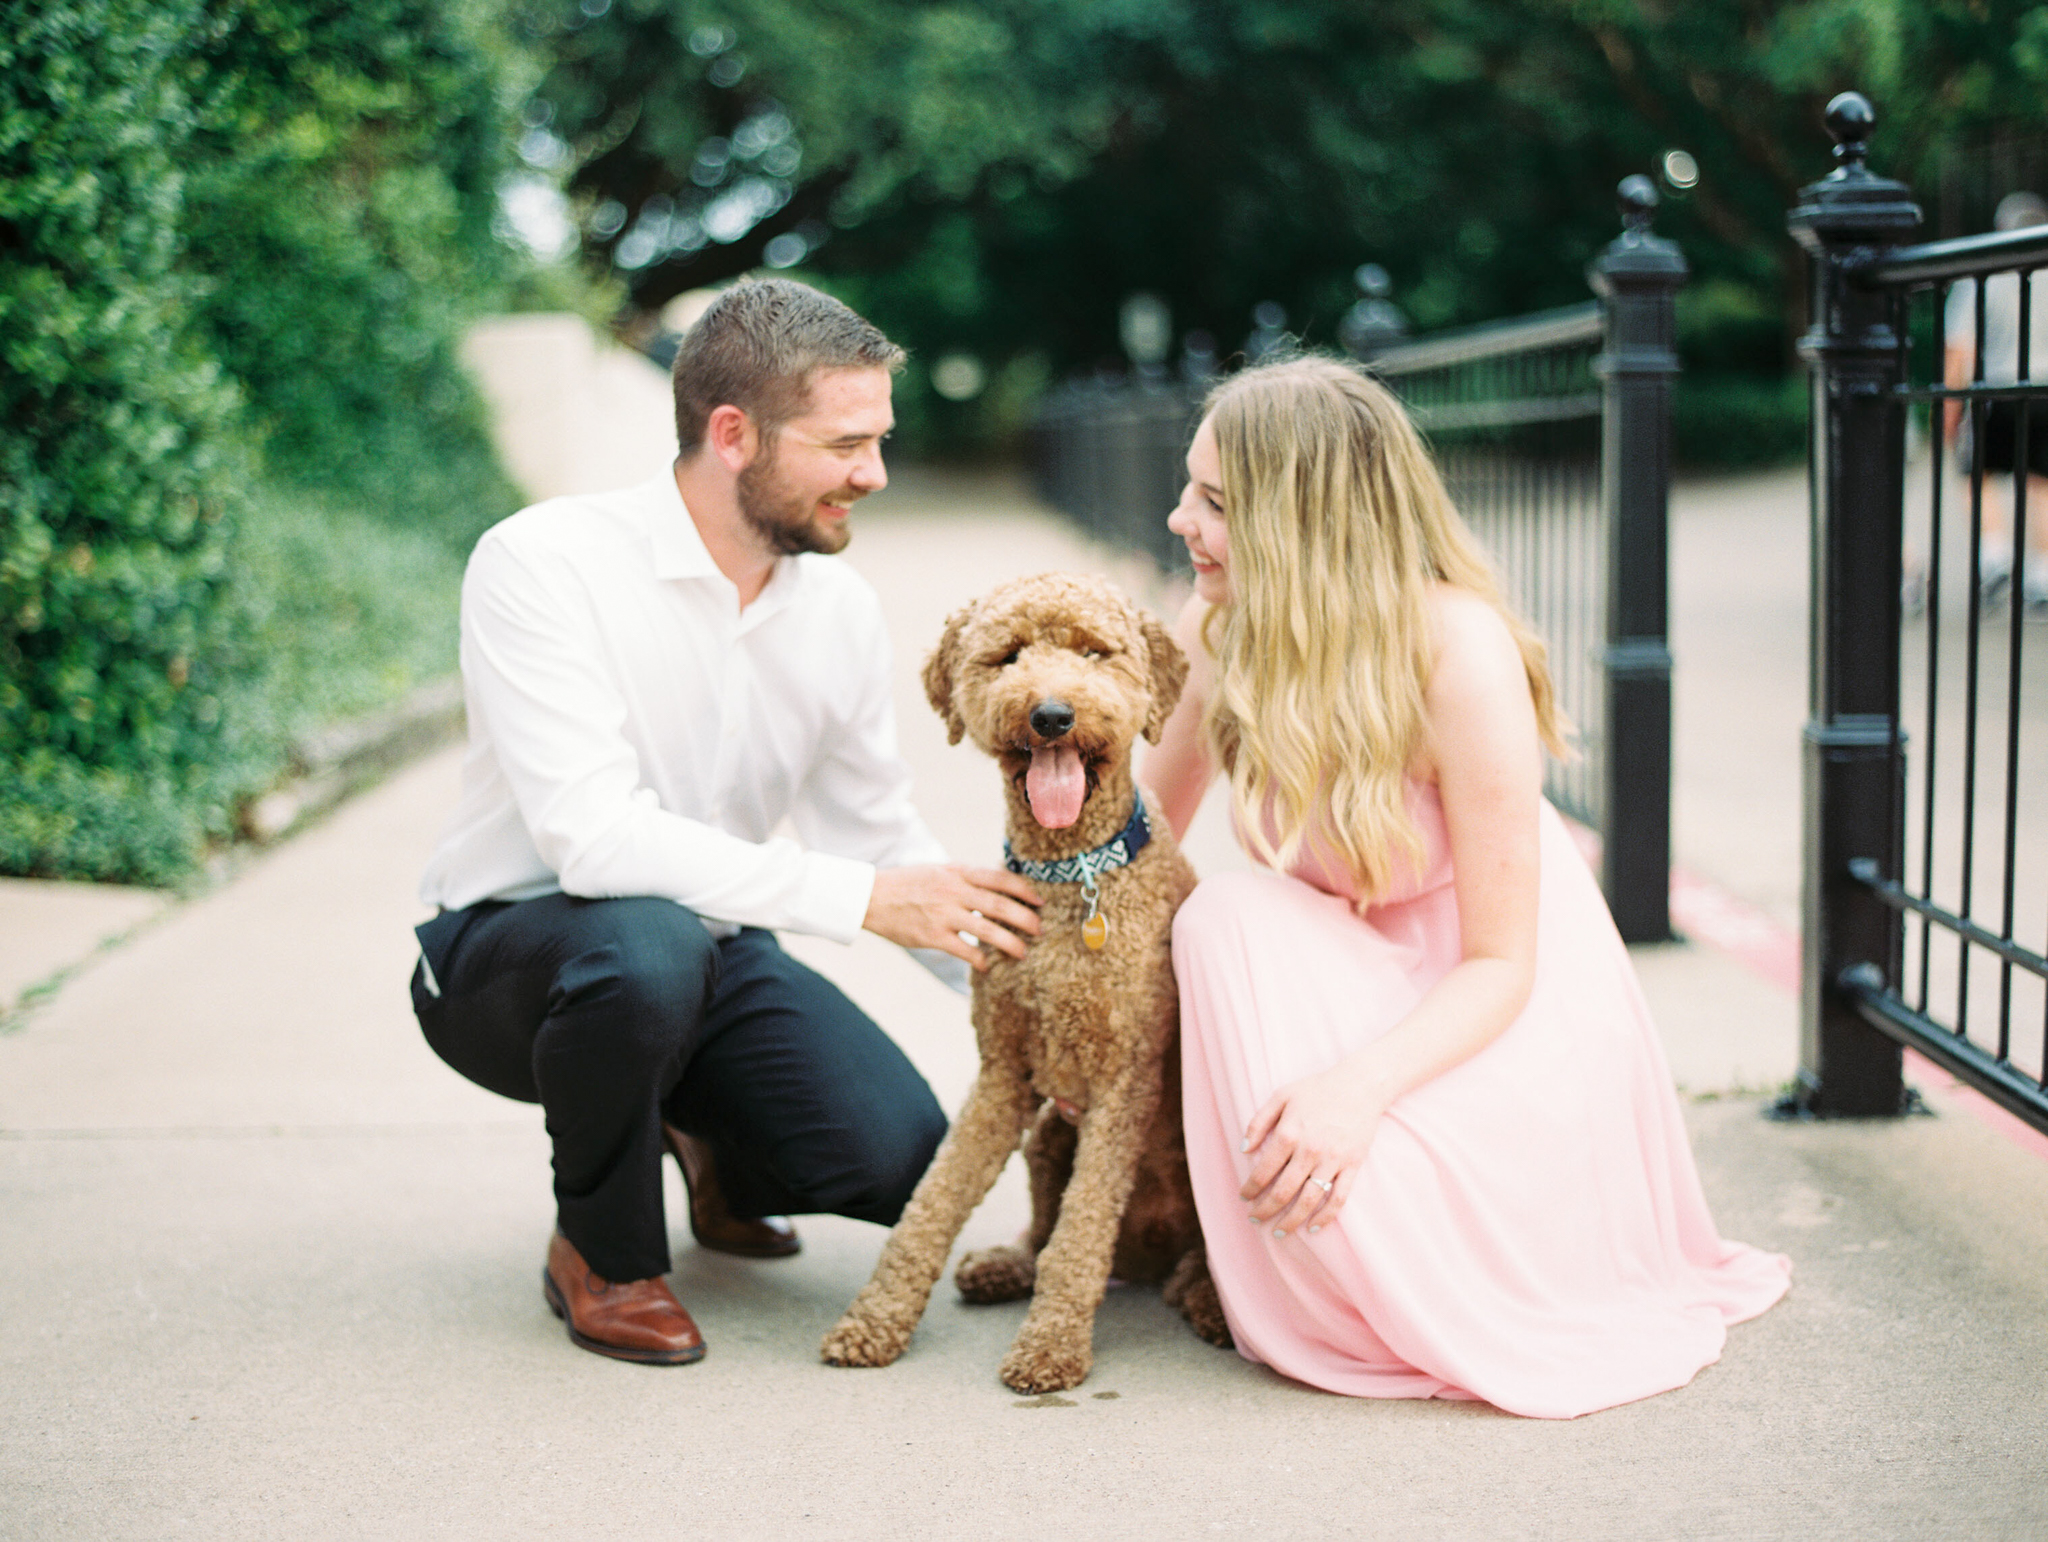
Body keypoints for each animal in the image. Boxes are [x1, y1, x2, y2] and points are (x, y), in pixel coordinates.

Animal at [819, 573, 1228, 1392]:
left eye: (1095, 653)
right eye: (1008, 656)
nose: (1051, 715)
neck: (1073, 876)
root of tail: (1148, 1258)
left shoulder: (1122, 1085)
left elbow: (1081, 1234)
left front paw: (1049, 1348)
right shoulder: (1004, 1074)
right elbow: (933, 1203)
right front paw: (873, 1322)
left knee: (1177, 1253)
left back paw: (1202, 1297)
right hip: (1047, 1135)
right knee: (1042, 1232)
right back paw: (1006, 1267)